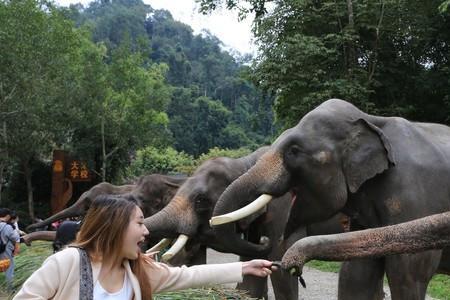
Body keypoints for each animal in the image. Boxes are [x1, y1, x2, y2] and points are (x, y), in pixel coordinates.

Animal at [211, 99, 450, 300]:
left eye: (294, 150)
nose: (263, 240)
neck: (371, 119)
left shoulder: (414, 196)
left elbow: (409, 272)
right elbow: (357, 273)